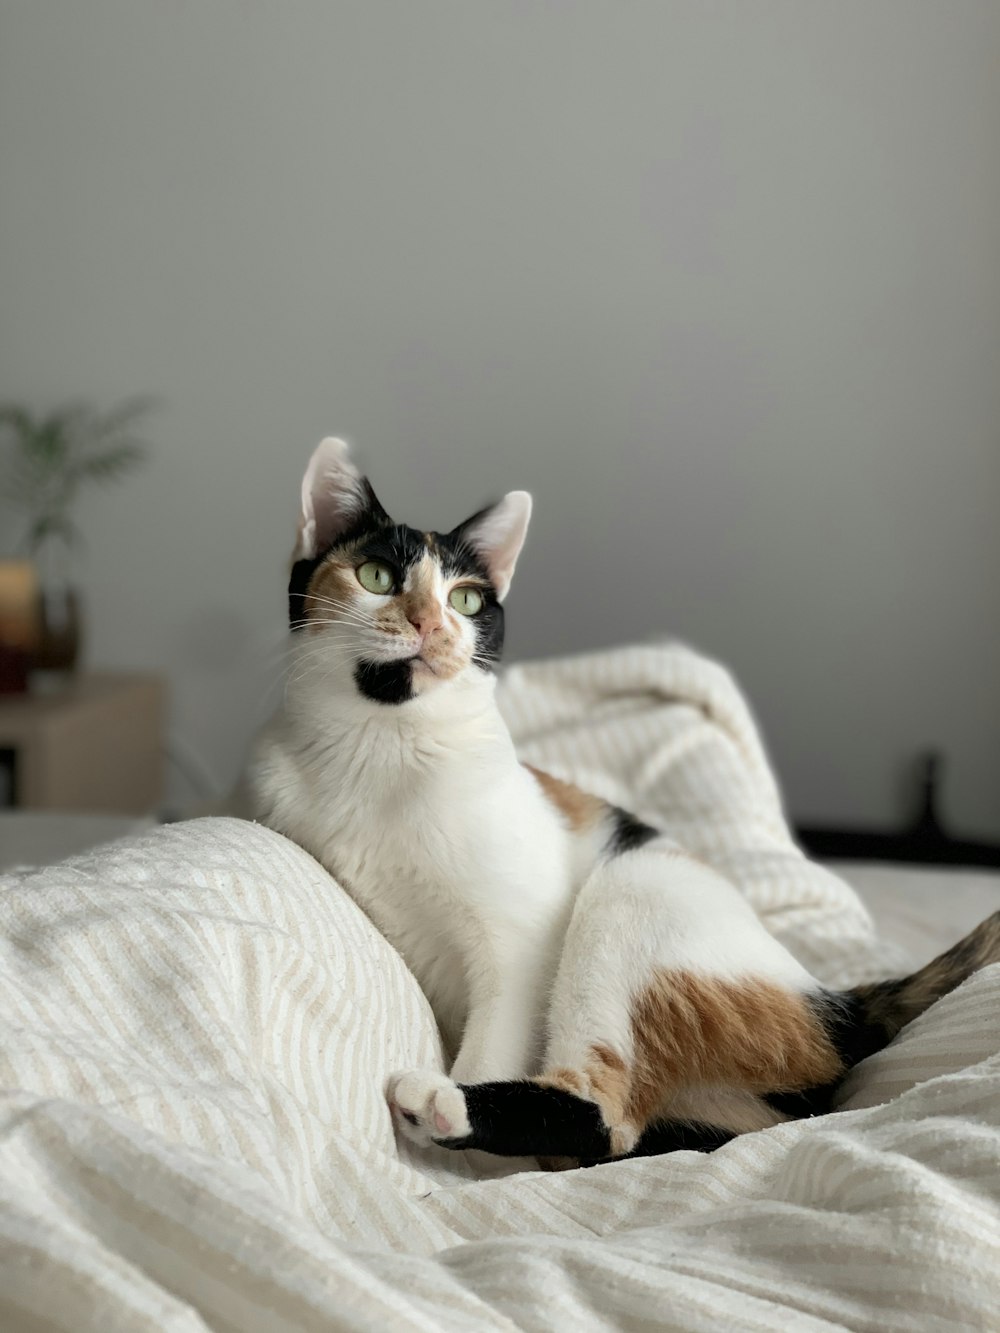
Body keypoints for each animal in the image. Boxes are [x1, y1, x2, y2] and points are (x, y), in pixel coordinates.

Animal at [249, 439, 1000, 1167]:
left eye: (465, 601)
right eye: (377, 576)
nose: (433, 624)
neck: (381, 747)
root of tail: (833, 1002)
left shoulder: (520, 941)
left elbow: (497, 1033)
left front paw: (466, 1177)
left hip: (631, 892)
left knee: (605, 1116)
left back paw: (440, 1102)